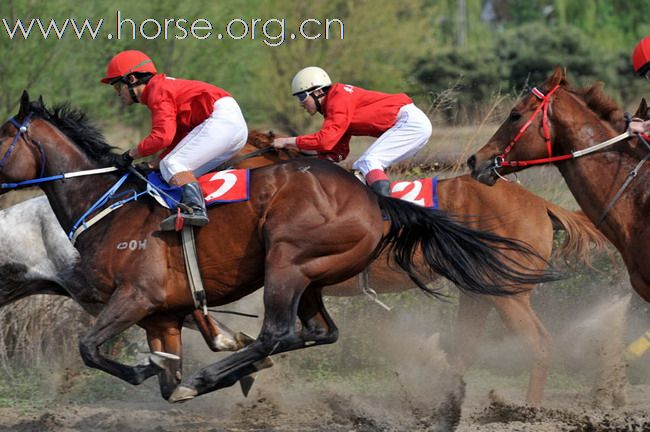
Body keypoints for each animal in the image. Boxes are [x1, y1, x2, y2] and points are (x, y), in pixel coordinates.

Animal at [0, 93, 556, 404]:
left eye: (2, 135)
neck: (109, 207)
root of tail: (373, 201)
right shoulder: (161, 314)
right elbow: (164, 379)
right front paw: (174, 371)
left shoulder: (136, 297)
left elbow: (91, 347)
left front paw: (164, 369)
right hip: (311, 277)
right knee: (318, 332)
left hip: (286, 262)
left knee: (278, 333)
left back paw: (218, 372)